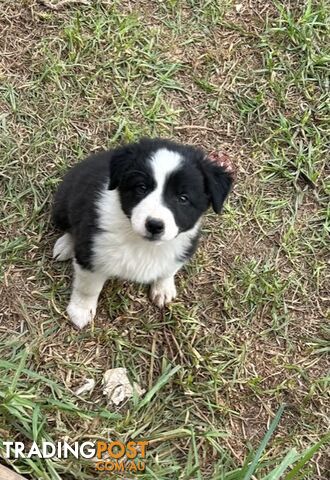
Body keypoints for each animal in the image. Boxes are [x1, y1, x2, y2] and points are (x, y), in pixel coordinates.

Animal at [52, 137, 232, 328]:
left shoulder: (185, 247)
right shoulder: (91, 254)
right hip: (63, 204)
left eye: (183, 198)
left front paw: (163, 288)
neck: (143, 244)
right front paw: (80, 311)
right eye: (141, 187)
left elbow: (169, 270)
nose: (154, 225)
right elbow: (88, 288)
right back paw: (65, 245)